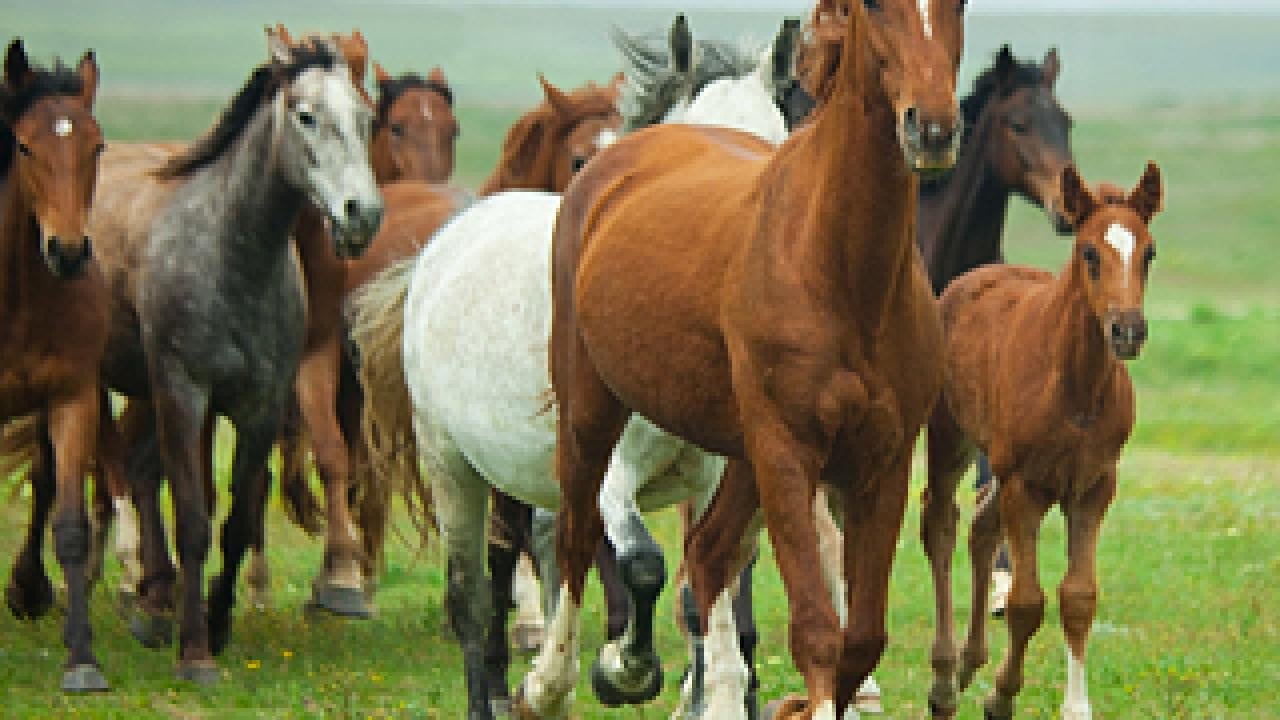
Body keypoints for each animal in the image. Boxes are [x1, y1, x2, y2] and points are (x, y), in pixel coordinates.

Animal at [82, 35, 380, 682]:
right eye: (305, 115)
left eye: (367, 118)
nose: (361, 215)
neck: (230, 252)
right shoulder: (185, 393)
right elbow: (195, 518)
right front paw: (195, 653)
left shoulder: (259, 406)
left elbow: (239, 519)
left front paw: (216, 623)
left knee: (138, 471)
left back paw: (153, 604)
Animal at [350, 13, 830, 720]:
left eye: (775, 148)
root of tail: (444, 242)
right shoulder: (614, 471)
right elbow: (644, 565)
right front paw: (624, 670)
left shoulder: (719, 476)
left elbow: (703, 592)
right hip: (454, 465)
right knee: (475, 597)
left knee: (552, 548)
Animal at [542, 0, 964, 716]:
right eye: (875, 8)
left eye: (959, 7)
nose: (931, 128)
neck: (841, 272)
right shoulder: (788, 451)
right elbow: (817, 629)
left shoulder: (882, 459)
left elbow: (861, 638)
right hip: (592, 413)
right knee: (575, 536)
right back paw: (549, 684)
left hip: (740, 456)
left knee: (708, 555)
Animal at [921, 163, 1162, 720]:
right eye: (1089, 252)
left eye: (1149, 252)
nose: (1127, 331)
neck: (1075, 387)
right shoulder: (1026, 486)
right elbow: (1027, 602)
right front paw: (1002, 695)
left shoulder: (1093, 487)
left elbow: (1078, 597)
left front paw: (1076, 706)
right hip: (951, 439)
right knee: (941, 524)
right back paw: (944, 677)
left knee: (981, 526)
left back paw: (969, 662)